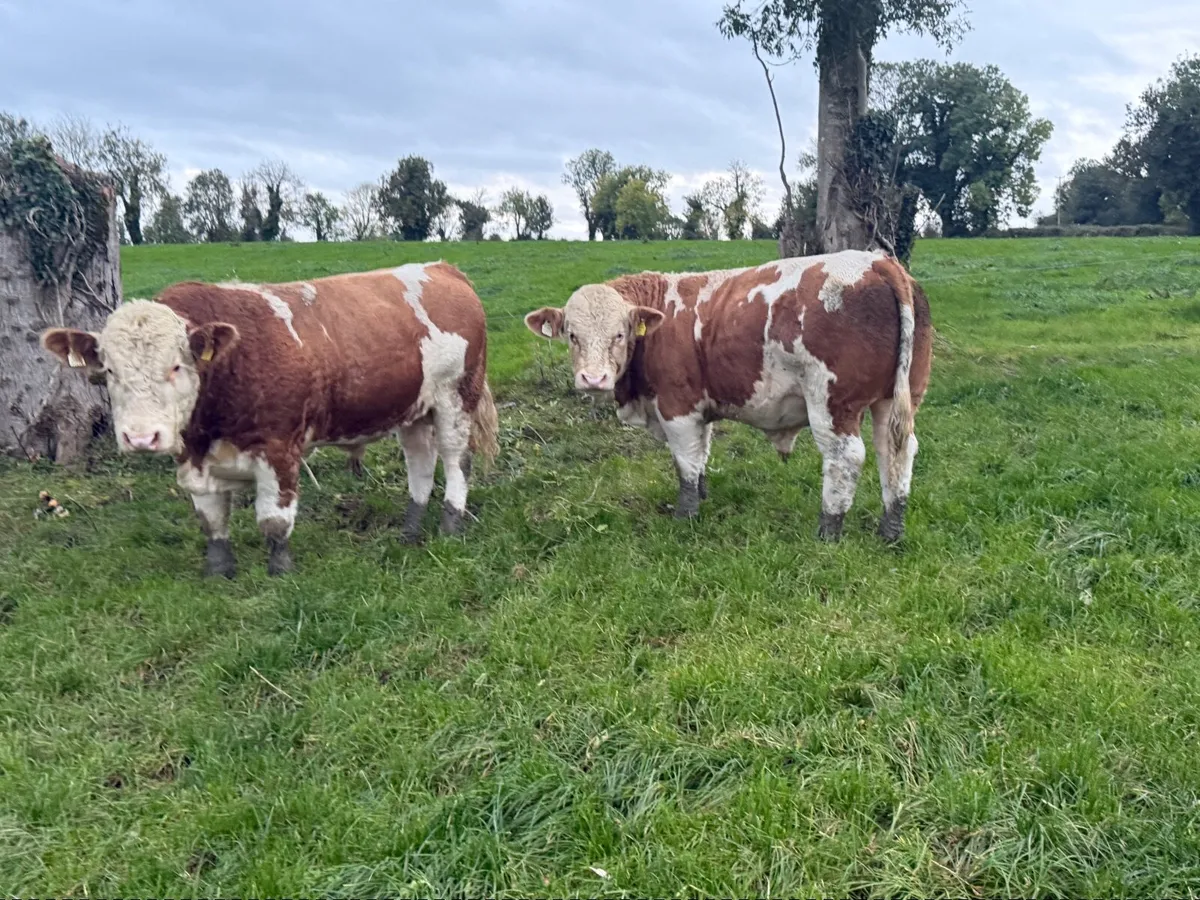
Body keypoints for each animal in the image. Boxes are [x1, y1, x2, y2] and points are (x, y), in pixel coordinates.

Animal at [41, 262, 499, 577]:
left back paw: (450, 522)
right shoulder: (194, 460)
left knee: (454, 459)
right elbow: (211, 519)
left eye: (175, 366)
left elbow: (274, 521)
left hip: (456, 396)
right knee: (420, 462)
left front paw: (281, 571)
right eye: (109, 370)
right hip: (413, 409)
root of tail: (441, 268)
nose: (140, 437)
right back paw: (410, 529)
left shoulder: (279, 450)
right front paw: (219, 571)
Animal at [524, 249, 932, 543]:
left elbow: (685, 463)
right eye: (571, 335)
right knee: (895, 452)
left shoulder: (677, 407)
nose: (593, 379)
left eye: (620, 334)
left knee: (846, 458)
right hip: (897, 398)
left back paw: (829, 530)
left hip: (832, 403)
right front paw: (703, 495)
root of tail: (877, 261)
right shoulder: (698, 408)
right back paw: (890, 530)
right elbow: (701, 455)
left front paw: (685, 515)